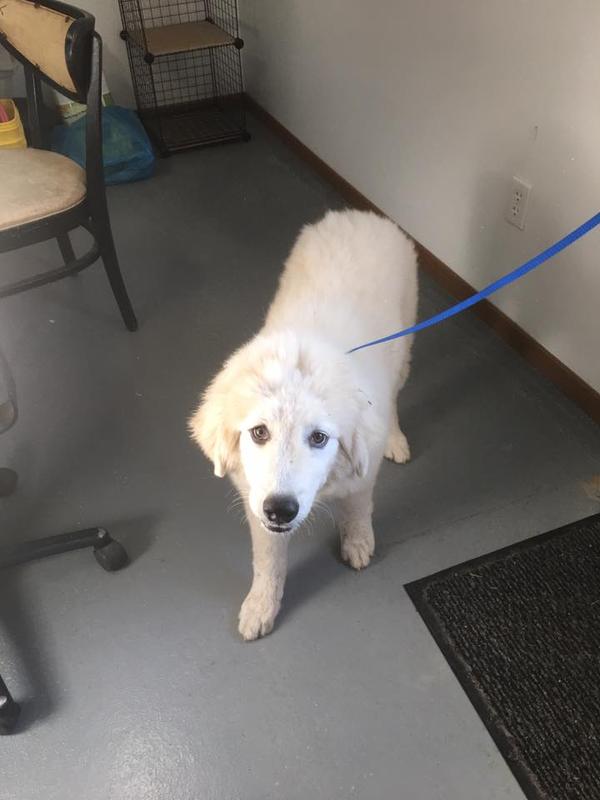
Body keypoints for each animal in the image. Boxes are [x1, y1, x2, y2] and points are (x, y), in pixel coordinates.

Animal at [190, 209, 418, 640]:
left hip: (405, 339)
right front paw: (261, 606)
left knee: (396, 393)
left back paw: (396, 437)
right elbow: (268, 562)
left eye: (319, 438)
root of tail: (360, 215)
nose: (280, 510)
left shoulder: (360, 477)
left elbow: (357, 510)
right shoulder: (255, 502)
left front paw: (358, 543)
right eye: (259, 432)